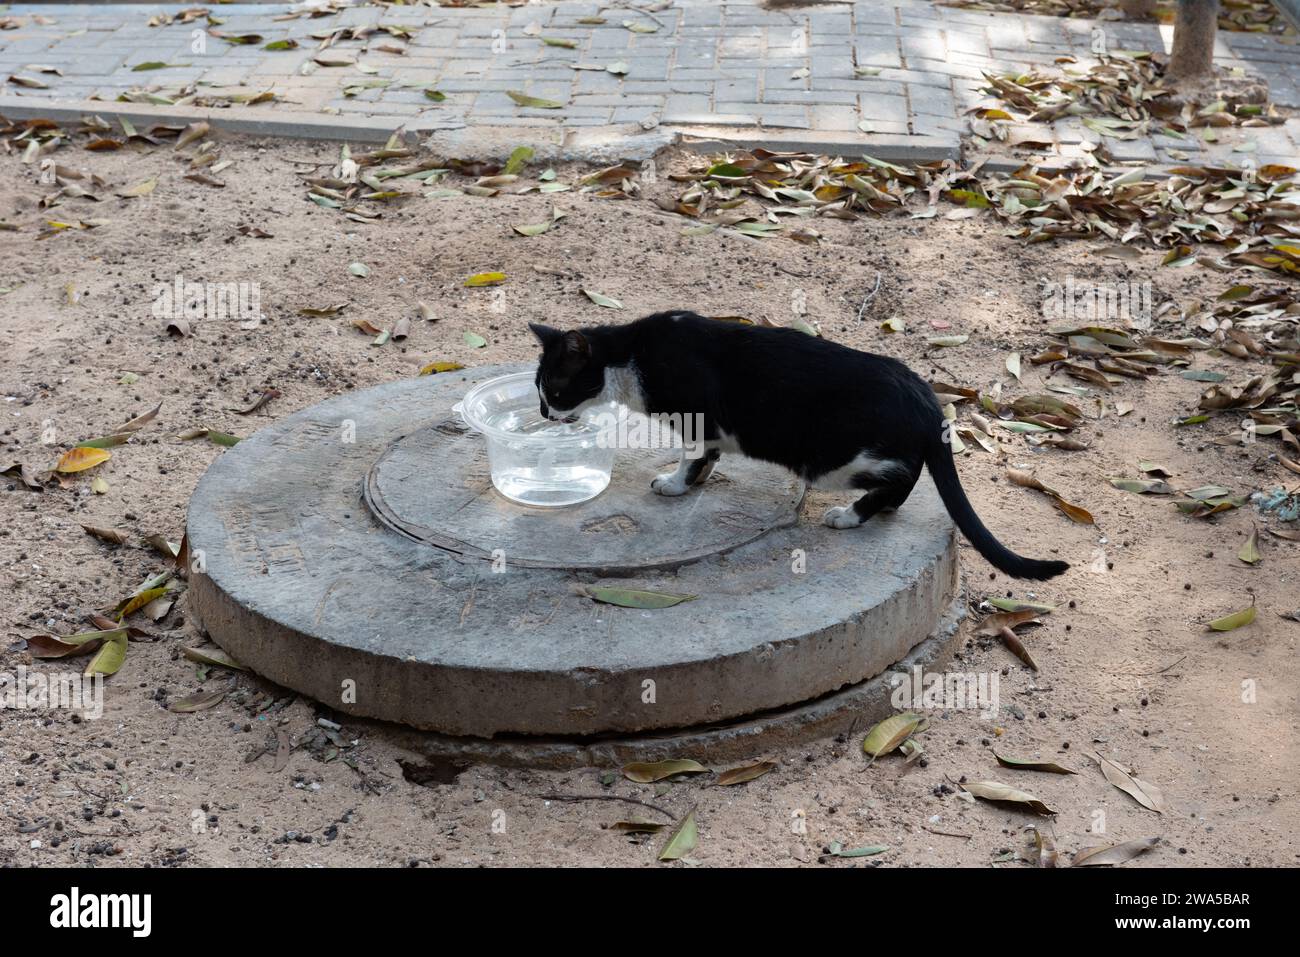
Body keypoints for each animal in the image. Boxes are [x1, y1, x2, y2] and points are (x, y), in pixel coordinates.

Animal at [525, 314, 1066, 579]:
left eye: (553, 389)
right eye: (539, 390)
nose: (543, 414)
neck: (631, 355)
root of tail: (925, 397)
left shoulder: (697, 415)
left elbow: (694, 456)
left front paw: (676, 484)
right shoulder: (709, 428)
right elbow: (709, 455)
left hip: (835, 458)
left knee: (902, 474)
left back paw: (853, 515)